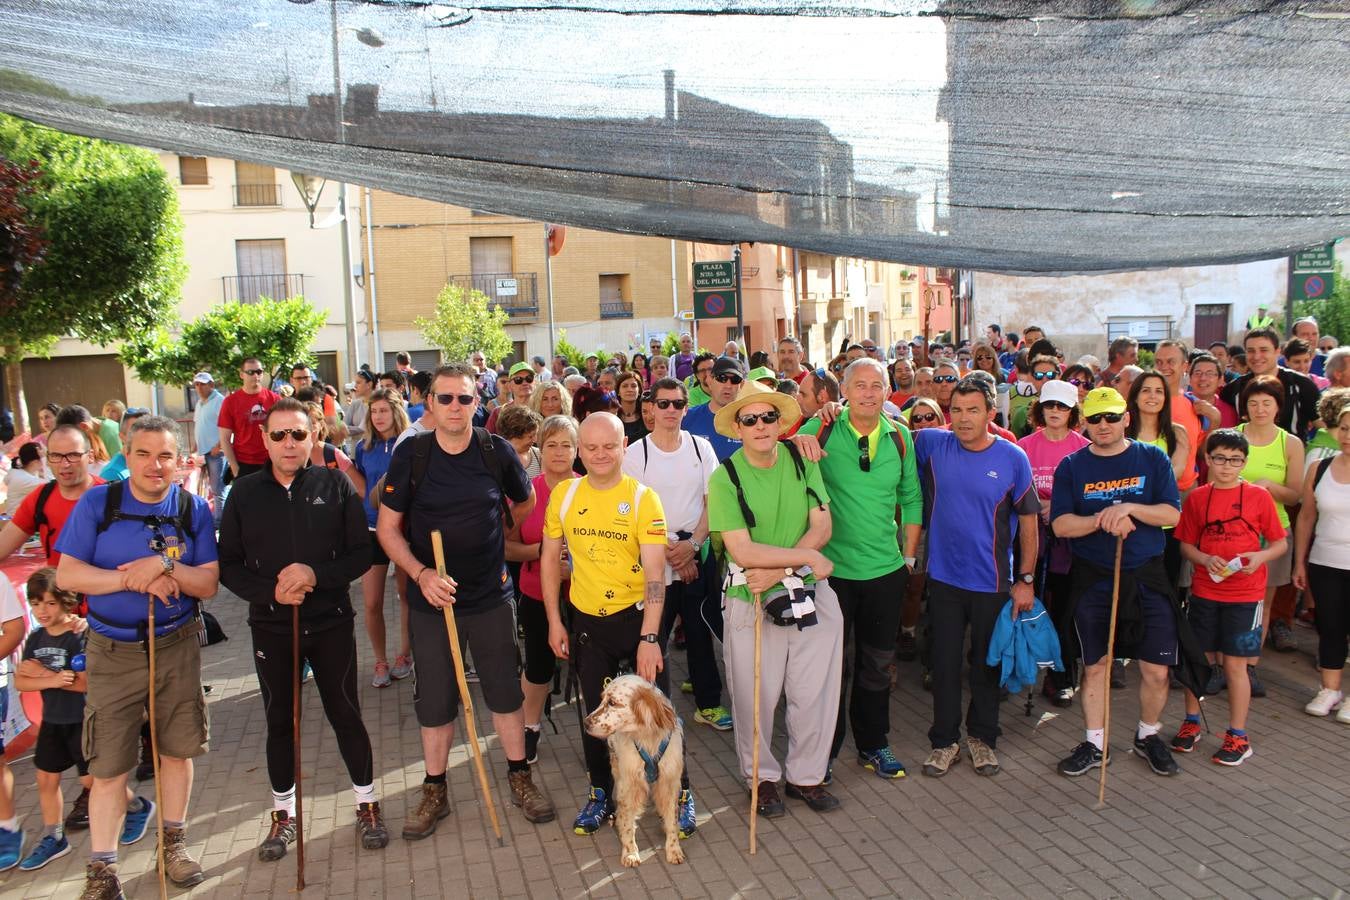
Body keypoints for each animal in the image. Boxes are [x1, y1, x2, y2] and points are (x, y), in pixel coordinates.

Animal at [583, 674, 685, 863]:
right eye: (602, 699)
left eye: (612, 702)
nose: (585, 723)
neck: (647, 738)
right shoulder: (629, 784)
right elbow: (628, 822)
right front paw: (630, 852)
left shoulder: (668, 782)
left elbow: (672, 820)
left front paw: (673, 849)